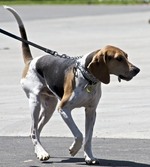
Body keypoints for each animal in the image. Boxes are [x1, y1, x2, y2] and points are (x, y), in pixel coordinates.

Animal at [4, 6, 139, 164]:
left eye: (126, 56)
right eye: (118, 59)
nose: (137, 70)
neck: (87, 78)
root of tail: (31, 61)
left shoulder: (91, 111)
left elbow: (88, 138)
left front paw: (89, 157)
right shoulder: (63, 109)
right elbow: (79, 134)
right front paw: (74, 149)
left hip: (49, 107)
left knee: (37, 129)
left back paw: (40, 151)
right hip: (35, 102)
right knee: (33, 130)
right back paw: (41, 153)